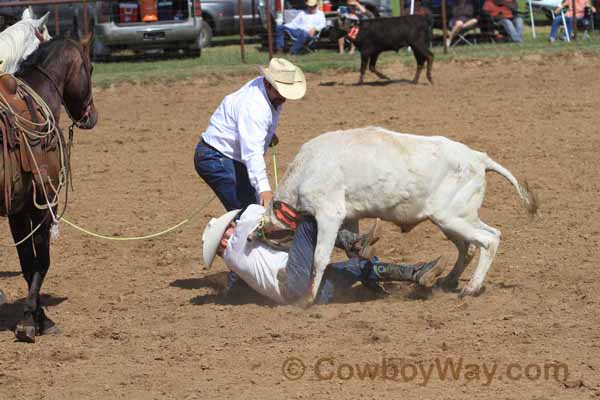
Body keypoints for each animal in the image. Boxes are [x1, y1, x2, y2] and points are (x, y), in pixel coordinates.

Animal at [1, 32, 97, 342]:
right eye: (90, 68)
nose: (92, 116)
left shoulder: (17, 209)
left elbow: (26, 263)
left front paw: (38, 316)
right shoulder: (43, 203)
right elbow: (41, 261)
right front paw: (33, 320)